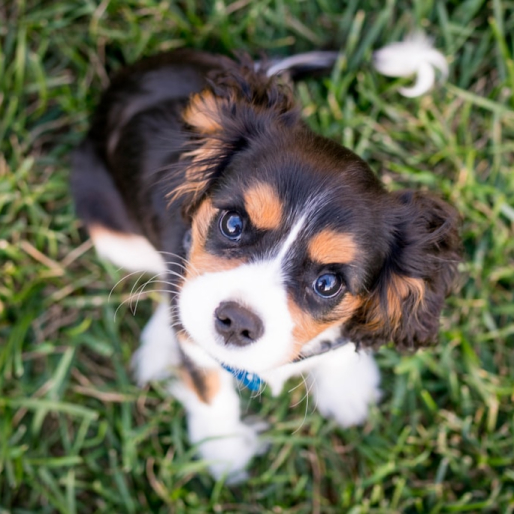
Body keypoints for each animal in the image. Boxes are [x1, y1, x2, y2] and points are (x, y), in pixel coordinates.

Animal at [72, 49, 460, 480]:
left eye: (328, 283)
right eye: (233, 224)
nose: (236, 321)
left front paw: (347, 387)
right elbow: (209, 386)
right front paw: (222, 452)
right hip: (111, 230)